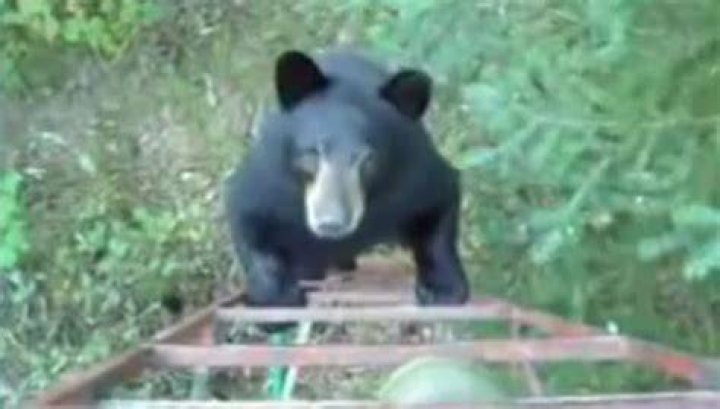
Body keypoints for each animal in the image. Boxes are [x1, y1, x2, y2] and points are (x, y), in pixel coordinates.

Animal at [225, 49, 470, 329]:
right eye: (313, 152)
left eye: (368, 159)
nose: (331, 223)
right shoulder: (271, 179)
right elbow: (249, 219)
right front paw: (278, 299)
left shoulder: (414, 174)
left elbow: (439, 208)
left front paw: (443, 289)